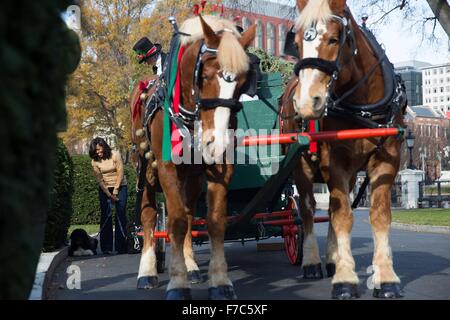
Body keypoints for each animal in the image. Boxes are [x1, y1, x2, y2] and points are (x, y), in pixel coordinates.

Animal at [131, 15, 256, 300]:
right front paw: (177, 285)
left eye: (243, 81)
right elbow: (174, 223)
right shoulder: (166, 167)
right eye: (205, 75)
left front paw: (219, 281)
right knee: (149, 215)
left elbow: (214, 221)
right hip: (147, 170)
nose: (216, 142)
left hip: (192, 177)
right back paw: (147, 271)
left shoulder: (221, 167)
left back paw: (191, 267)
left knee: (189, 214)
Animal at [284, 0, 410, 300]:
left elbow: (378, 215)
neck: (363, 108)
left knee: (330, 207)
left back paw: (332, 259)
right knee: (307, 210)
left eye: (333, 39)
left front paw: (385, 278)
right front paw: (345, 280)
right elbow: (343, 217)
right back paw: (312, 262)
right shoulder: (335, 163)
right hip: (301, 167)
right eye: (297, 42)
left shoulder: (387, 161)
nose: (305, 103)